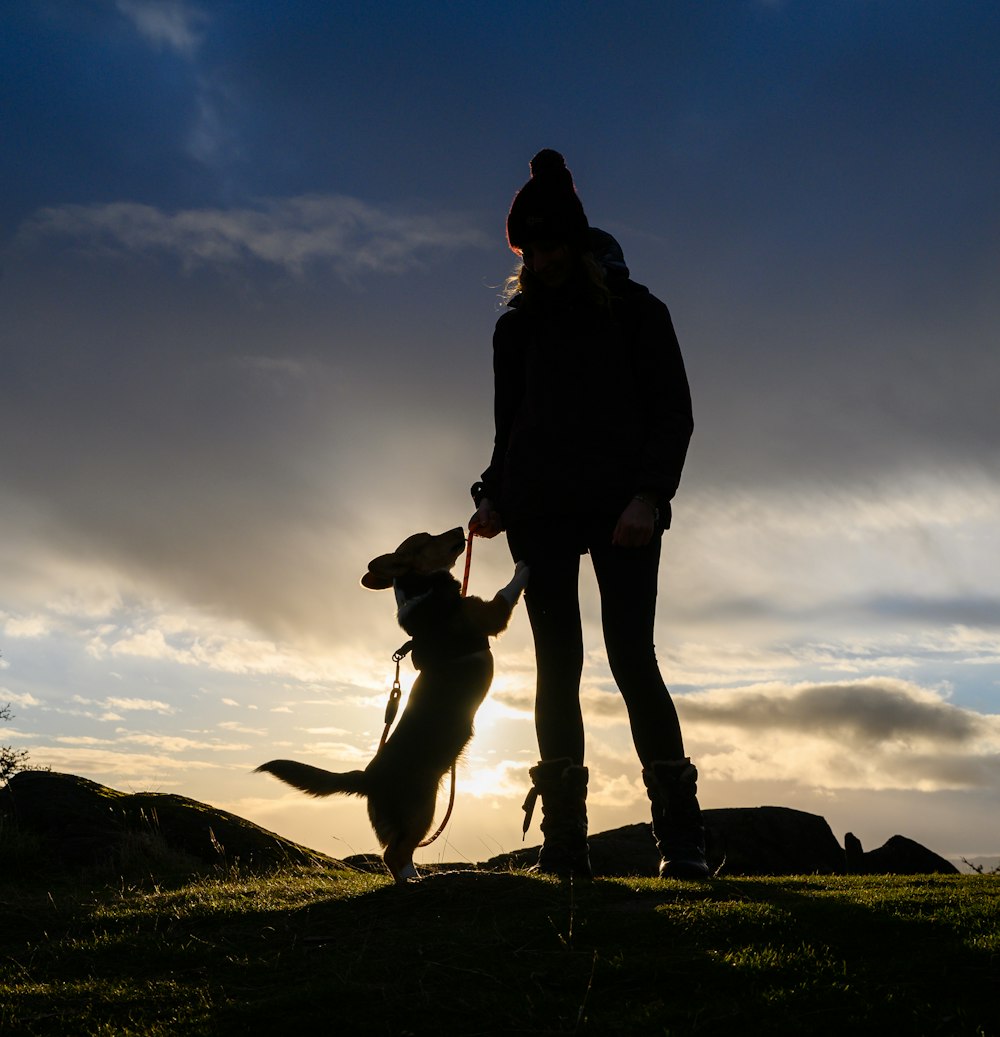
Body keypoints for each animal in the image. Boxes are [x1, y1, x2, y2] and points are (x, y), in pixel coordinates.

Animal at [254, 526, 526, 883]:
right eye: (426, 538)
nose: (459, 528)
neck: (425, 593)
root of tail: (368, 777)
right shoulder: (489, 615)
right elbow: (508, 590)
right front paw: (523, 566)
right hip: (421, 809)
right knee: (394, 853)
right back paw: (413, 880)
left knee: (393, 853)